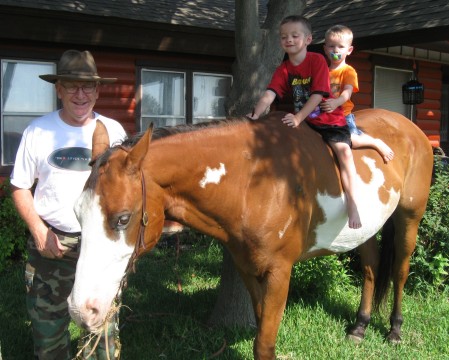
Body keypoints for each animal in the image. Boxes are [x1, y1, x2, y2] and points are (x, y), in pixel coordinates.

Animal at [68, 109, 432, 360]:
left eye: (122, 219)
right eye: (77, 214)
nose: (82, 310)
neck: (254, 179)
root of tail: (409, 127)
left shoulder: (279, 272)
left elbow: (264, 344)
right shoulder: (248, 267)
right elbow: (260, 329)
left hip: (409, 217)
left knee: (399, 270)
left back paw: (394, 330)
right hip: (365, 228)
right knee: (371, 267)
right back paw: (359, 326)